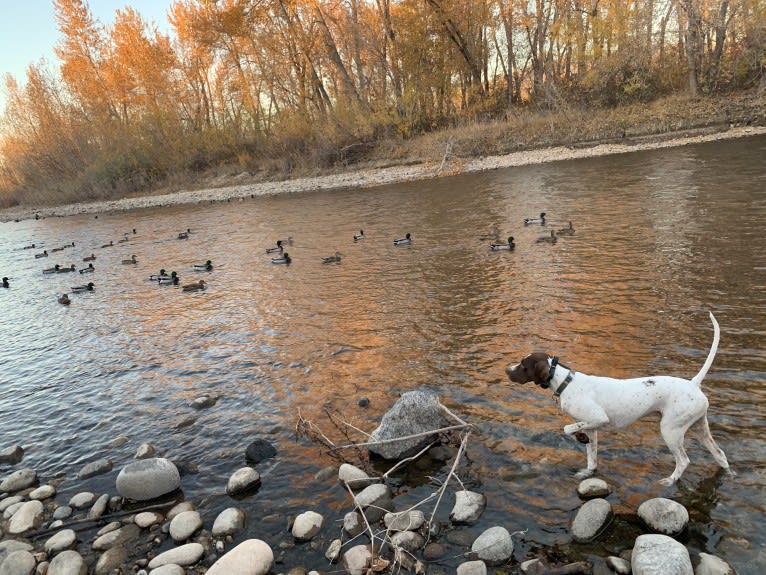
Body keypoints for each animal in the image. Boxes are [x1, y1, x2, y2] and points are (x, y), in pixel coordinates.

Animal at [508, 310, 736, 486]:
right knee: (720, 455)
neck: (567, 382)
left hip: (671, 430)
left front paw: (577, 436)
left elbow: (567, 428)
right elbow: (591, 458)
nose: (506, 370)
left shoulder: (598, 419)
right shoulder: (592, 428)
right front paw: (586, 469)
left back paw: (670, 480)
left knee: (683, 461)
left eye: (523, 365)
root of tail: (693, 384)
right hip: (700, 427)